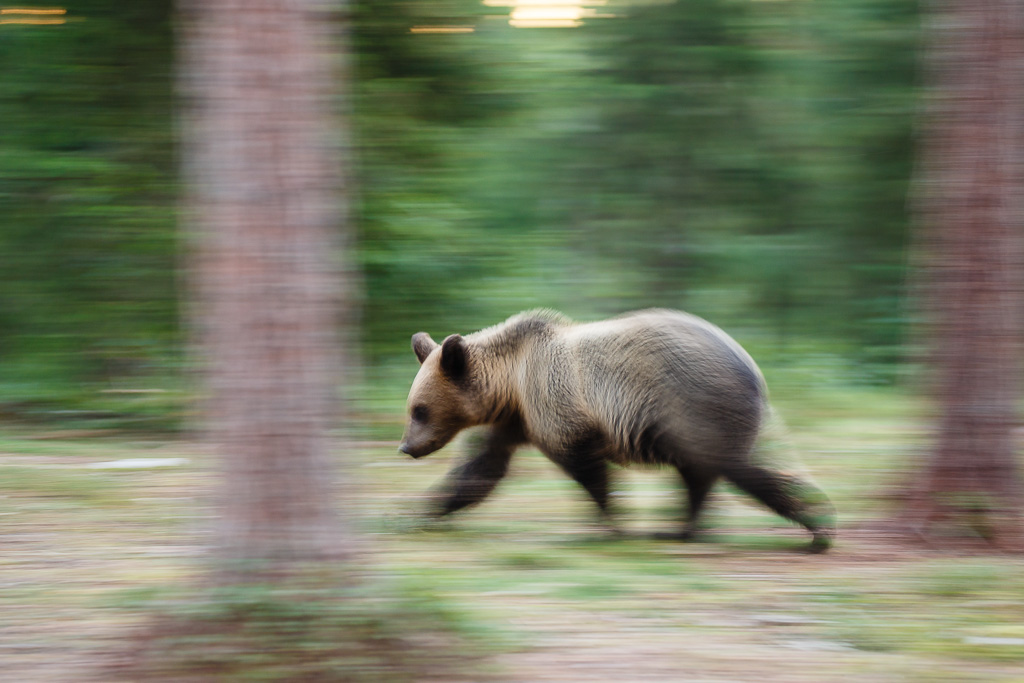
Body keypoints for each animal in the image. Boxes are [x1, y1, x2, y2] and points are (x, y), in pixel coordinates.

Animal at [399, 309, 835, 550]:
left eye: (419, 410)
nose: (406, 447)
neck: (511, 381)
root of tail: (752, 367)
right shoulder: (512, 420)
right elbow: (480, 470)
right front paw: (414, 512)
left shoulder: (557, 406)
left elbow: (586, 468)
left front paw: (611, 523)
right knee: (711, 473)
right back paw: (685, 529)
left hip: (698, 407)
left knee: (734, 470)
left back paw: (818, 526)